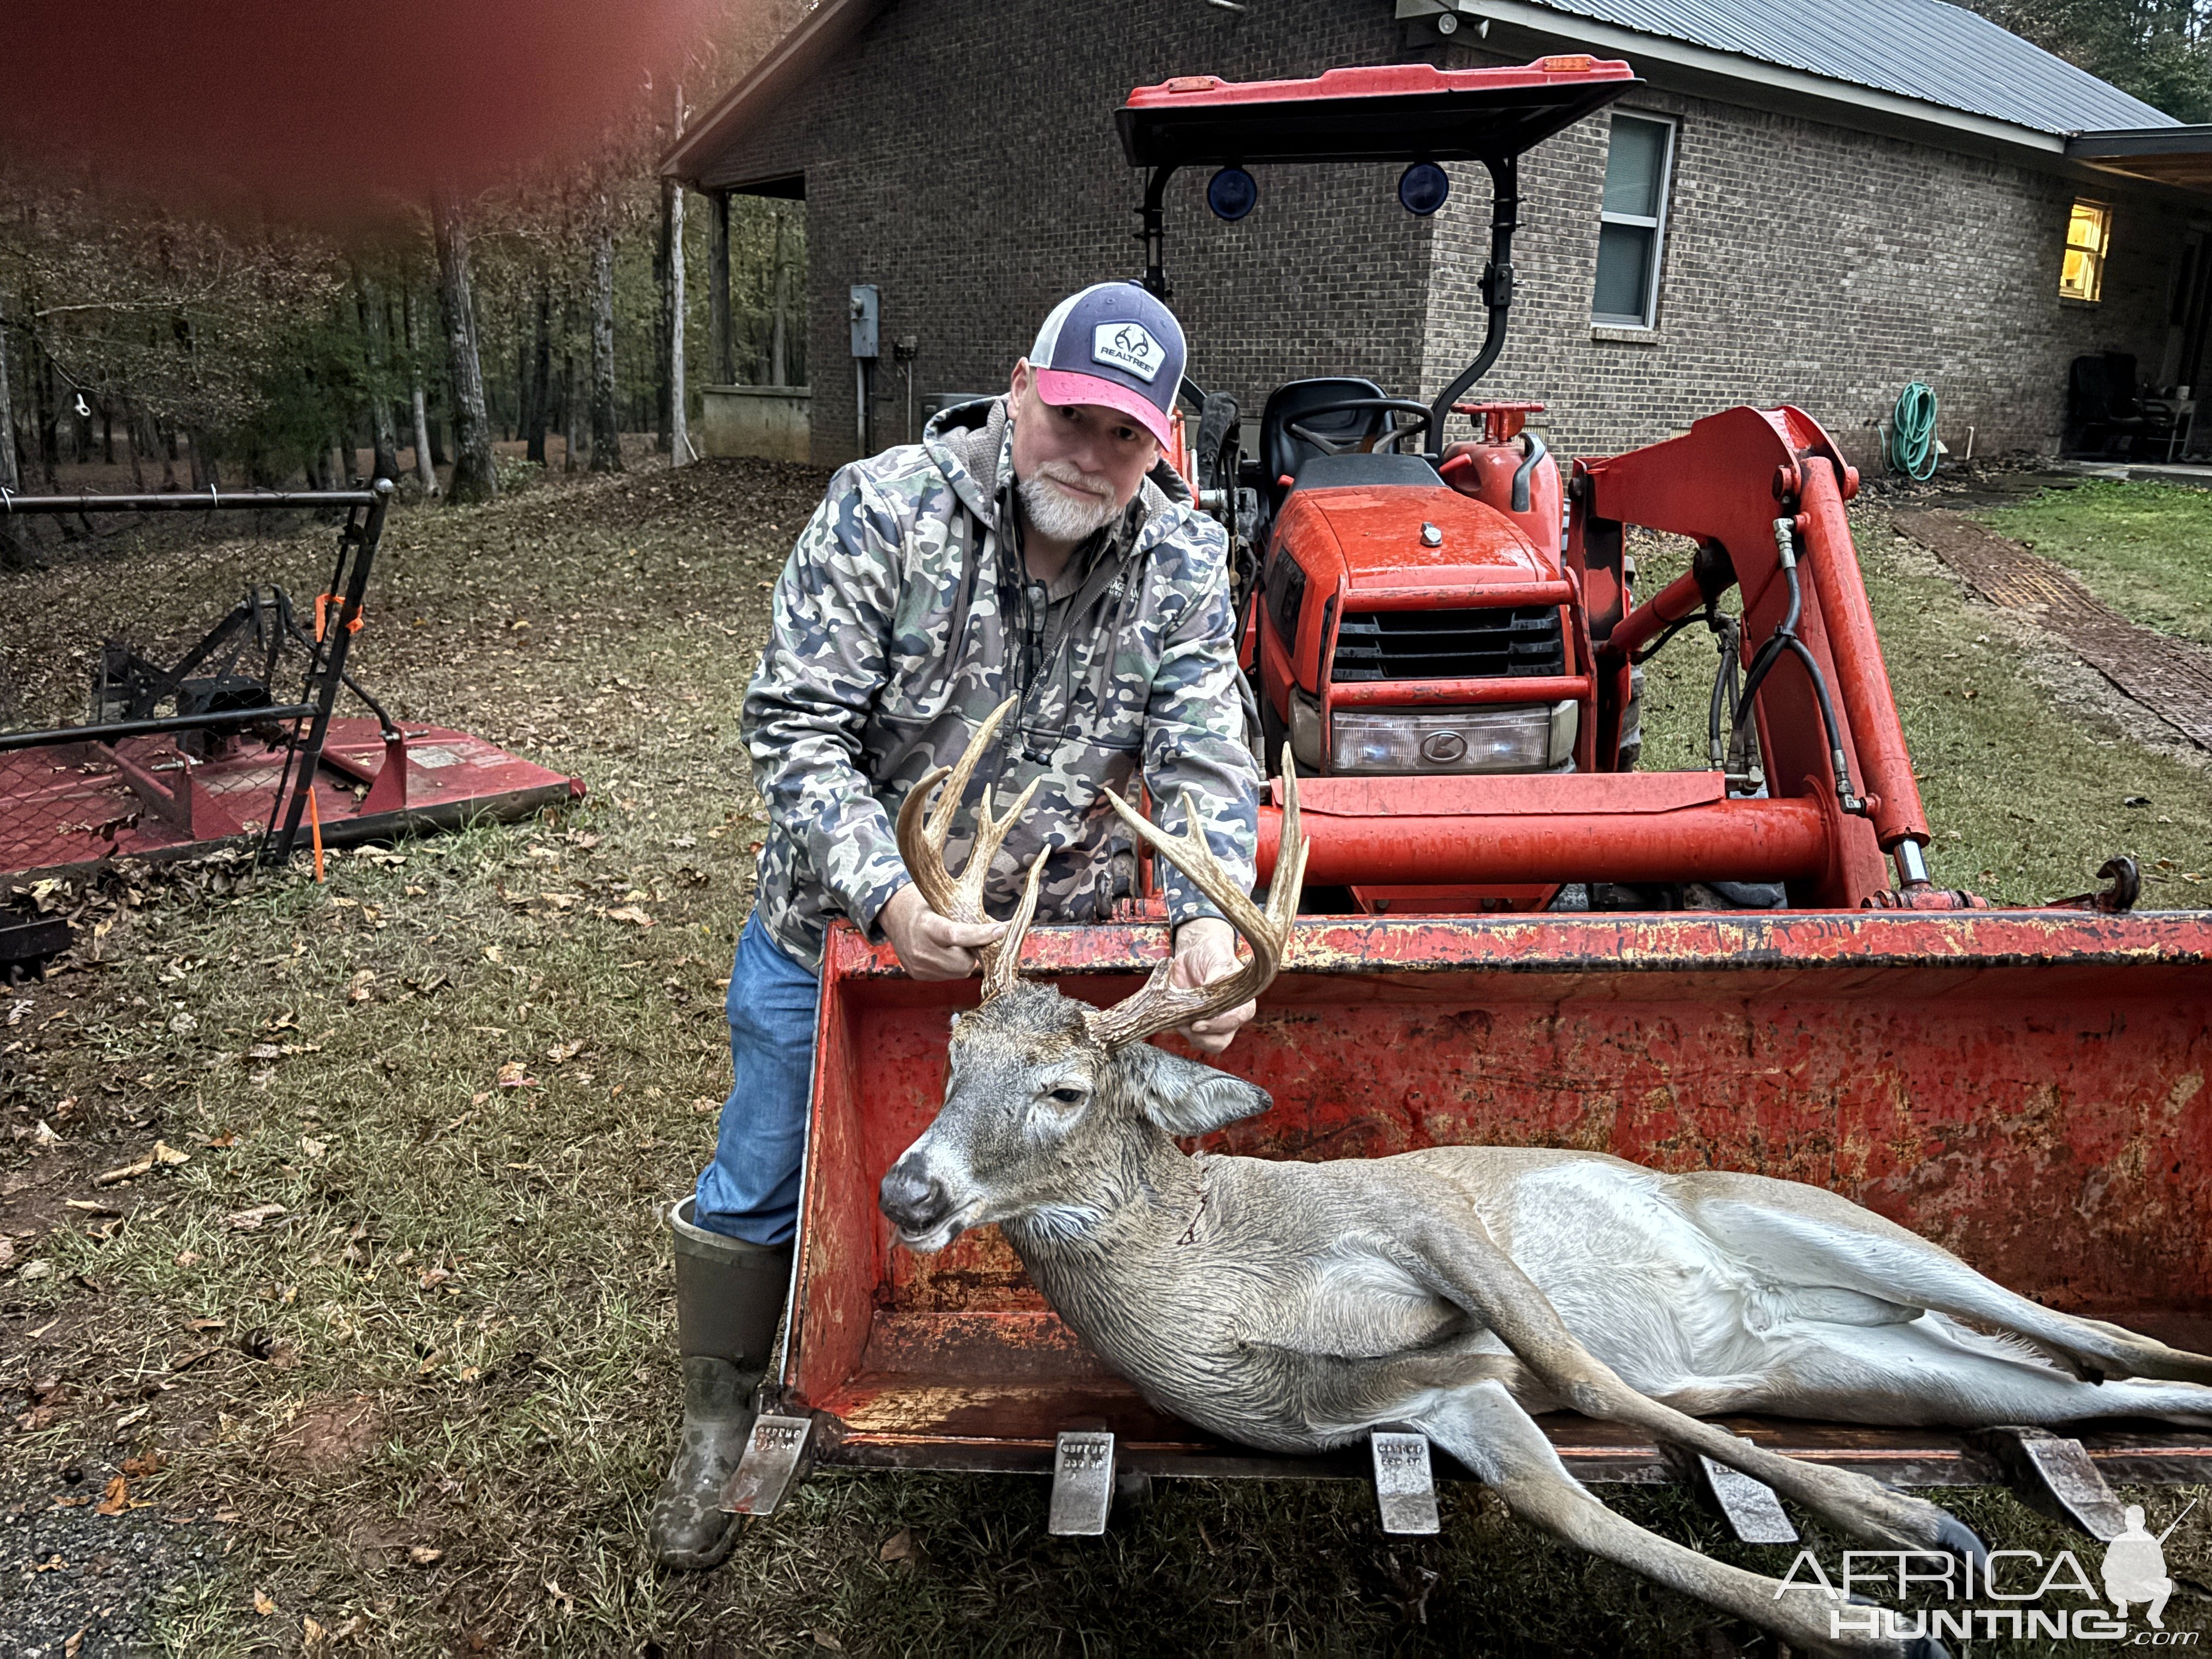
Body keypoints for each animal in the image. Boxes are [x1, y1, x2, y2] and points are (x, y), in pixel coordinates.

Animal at [877, 704, 2212, 1659]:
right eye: (954, 1053)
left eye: (1063, 1090)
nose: (906, 1193)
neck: (1225, 1301)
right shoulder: (1440, 1400)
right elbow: (1572, 1513)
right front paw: (1868, 1620)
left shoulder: (1423, 1215)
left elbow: (1588, 1372)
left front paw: (1901, 1523)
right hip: (1886, 1367)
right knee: (2084, 1388)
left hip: (1834, 1224)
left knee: (2102, 1334)